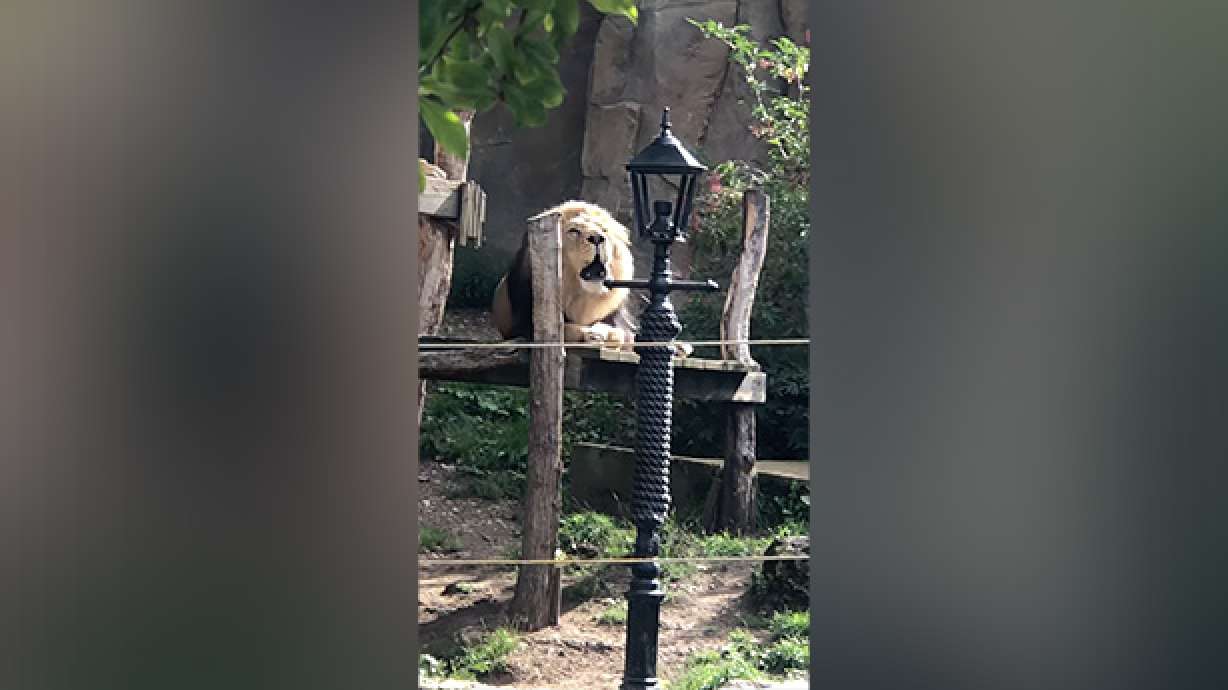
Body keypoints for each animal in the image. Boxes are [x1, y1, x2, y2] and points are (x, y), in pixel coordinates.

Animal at [491, 200, 637, 349]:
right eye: (574, 231)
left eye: (604, 230)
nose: (597, 238)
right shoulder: (525, 325)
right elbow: (565, 331)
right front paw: (593, 334)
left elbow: (624, 334)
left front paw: (607, 333)